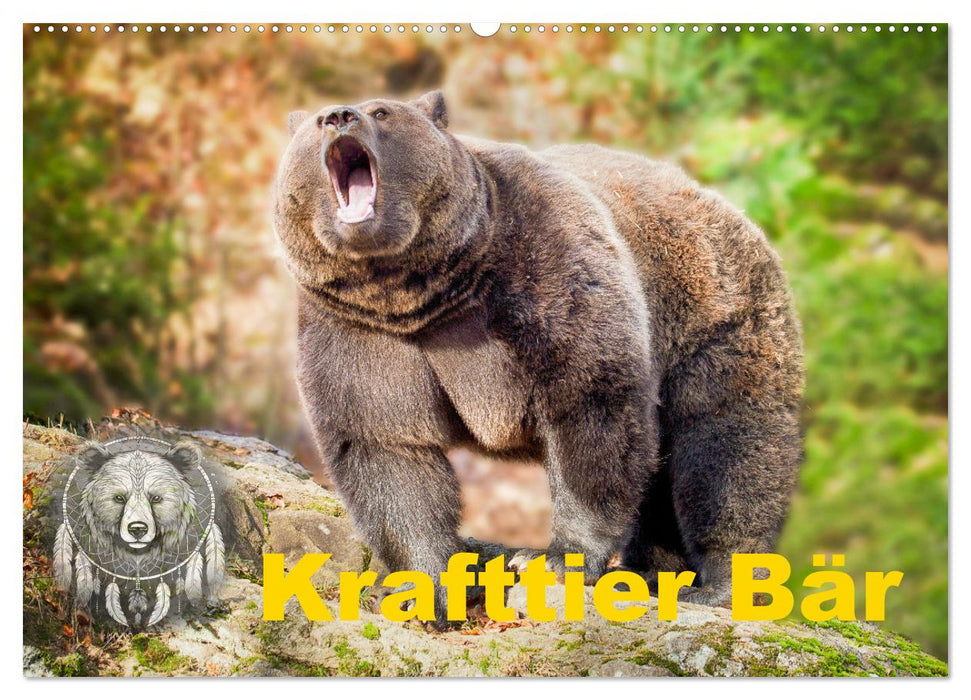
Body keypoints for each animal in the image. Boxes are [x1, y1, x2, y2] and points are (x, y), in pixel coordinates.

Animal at [272, 90, 804, 620]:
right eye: (316, 122)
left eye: (382, 112)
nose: (340, 116)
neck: (422, 293)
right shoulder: (357, 329)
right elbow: (386, 444)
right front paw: (429, 588)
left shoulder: (540, 269)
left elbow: (588, 406)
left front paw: (552, 558)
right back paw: (652, 571)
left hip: (711, 319)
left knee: (726, 450)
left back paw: (720, 583)